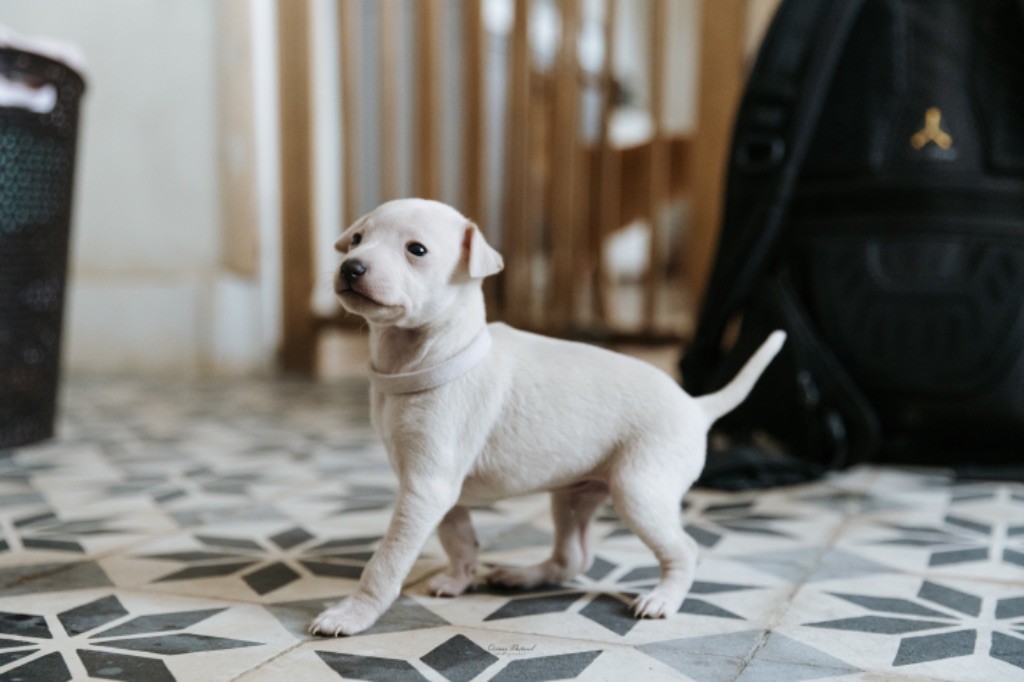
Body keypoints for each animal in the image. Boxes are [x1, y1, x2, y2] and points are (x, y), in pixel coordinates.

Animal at [310, 198, 785, 636]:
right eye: (357, 239)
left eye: (417, 249)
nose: (351, 267)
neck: (429, 358)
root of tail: (696, 406)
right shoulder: (437, 489)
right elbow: (458, 538)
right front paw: (459, 578)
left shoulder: (425, 488)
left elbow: (386, 561)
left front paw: (351, 614)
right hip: (574, 493)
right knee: (574, 557)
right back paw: (523, 576)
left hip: (639, 490)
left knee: (683, 548)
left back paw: (662, 598)